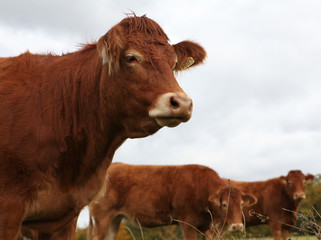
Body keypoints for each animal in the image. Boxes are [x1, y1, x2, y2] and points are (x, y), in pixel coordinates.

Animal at [88, 163, 258, 240]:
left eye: (241, 204)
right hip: (102, 217)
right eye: (224, 204)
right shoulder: (187, 222)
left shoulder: (207, 228)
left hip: (114, 219)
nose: (237, 226)